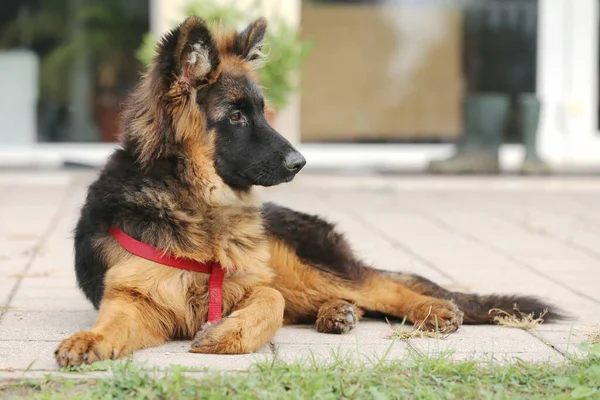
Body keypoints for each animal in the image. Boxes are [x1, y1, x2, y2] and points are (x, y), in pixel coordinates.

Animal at [54, 14, 564, 366]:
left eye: (262, 111)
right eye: (236, 116)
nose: (300, 163)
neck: (200, 203)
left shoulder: (253, 282)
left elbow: (270, 302)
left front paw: (226, 336)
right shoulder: (135, 299)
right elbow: (114, 322)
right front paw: (89, 340)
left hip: (299, 264)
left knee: (379, 286)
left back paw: (431, 309)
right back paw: (337, 313)